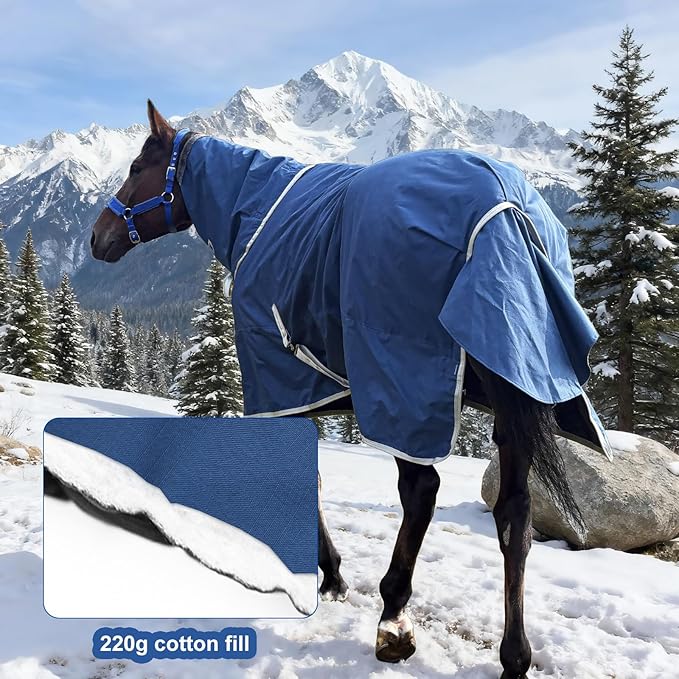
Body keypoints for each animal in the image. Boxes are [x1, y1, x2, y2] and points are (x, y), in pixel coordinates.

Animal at [91, 100, 611, 679]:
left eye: (138, 167)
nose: (97, 237)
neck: (253, 210)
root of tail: (507, 208)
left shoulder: (285, 388)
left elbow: (310, 477)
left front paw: (331, 574)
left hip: (406, 393)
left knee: (422, 491)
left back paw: (394, 617)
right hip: (513, 389)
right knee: (514, 516)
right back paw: (513, 655)